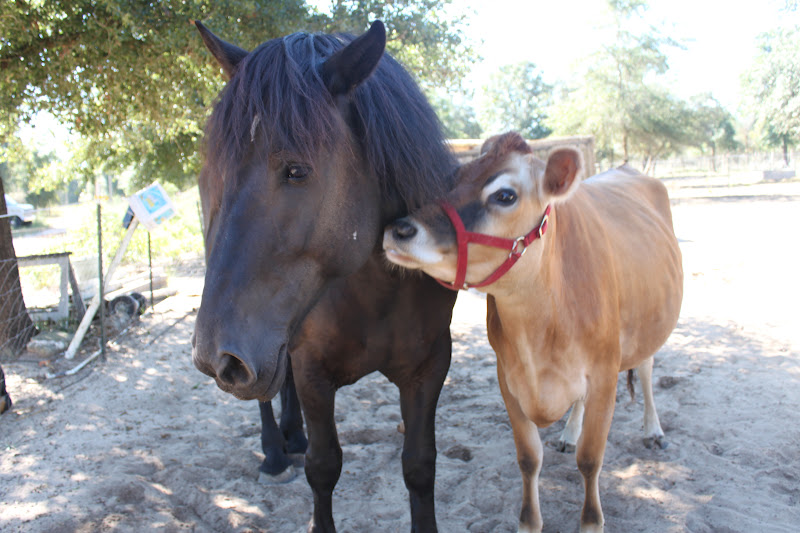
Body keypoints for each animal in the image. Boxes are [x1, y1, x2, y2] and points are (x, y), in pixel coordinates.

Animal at [191, 20, 459, 532]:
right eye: (211, 174)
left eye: (297, 170)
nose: (214, 357)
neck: (378, 295)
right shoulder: (311, 369)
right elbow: (324, 466)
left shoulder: (429, 366)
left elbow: (420, 466)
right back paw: (276, 452)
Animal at [383, 132, 683, 532]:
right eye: (454, 178)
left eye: (505, 195)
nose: (399, 229)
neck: (540, 332)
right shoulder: (508, 378)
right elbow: (528, 458)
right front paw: (529, 521)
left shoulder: (604, 376)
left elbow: (590, 459)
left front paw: (591, 522)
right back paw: (569, 433)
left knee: (647, 370)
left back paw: (653, 431)